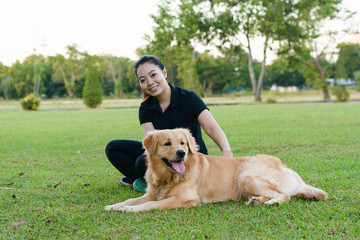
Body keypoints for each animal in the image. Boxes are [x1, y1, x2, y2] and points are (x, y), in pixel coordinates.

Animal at [105, 128, 330, 211]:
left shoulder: (182, 200)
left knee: (285, 196)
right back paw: (256, 201)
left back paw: (271, 201)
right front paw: (114, 206)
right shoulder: (152, 193)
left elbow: (148, 206)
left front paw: (128, 210)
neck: (168, 177)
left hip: (247, 177)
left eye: (183, 143)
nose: (181, 153)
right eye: (167, 143)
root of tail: (289, 170)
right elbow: (133, 199)